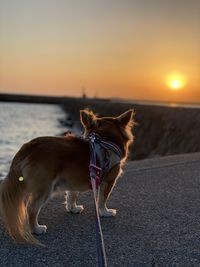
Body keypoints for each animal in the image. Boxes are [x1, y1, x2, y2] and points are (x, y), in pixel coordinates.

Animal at [0, 109, 134, 245]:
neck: (105, 139)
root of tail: (28, 147)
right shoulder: (109, 181)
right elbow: (102, 199)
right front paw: (105, 212)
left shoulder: (72, 180)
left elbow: (72, 195)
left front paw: (72, 208)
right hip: (45, 188)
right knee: (32, 208)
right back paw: (36, 229)